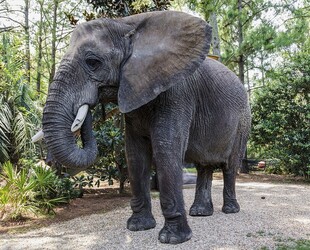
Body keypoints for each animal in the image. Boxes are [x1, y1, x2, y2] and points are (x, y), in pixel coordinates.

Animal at [34, 11, 252, 244]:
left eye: (93, 62)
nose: (87, 110)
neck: (125, 24)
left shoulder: (177, 93)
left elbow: (165, 150)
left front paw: (172, 239)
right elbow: (135, 154)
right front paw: (138, 227)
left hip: (243, 121)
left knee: (230, 166)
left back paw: (230, 210)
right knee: (204, 166)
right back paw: (200, 213)